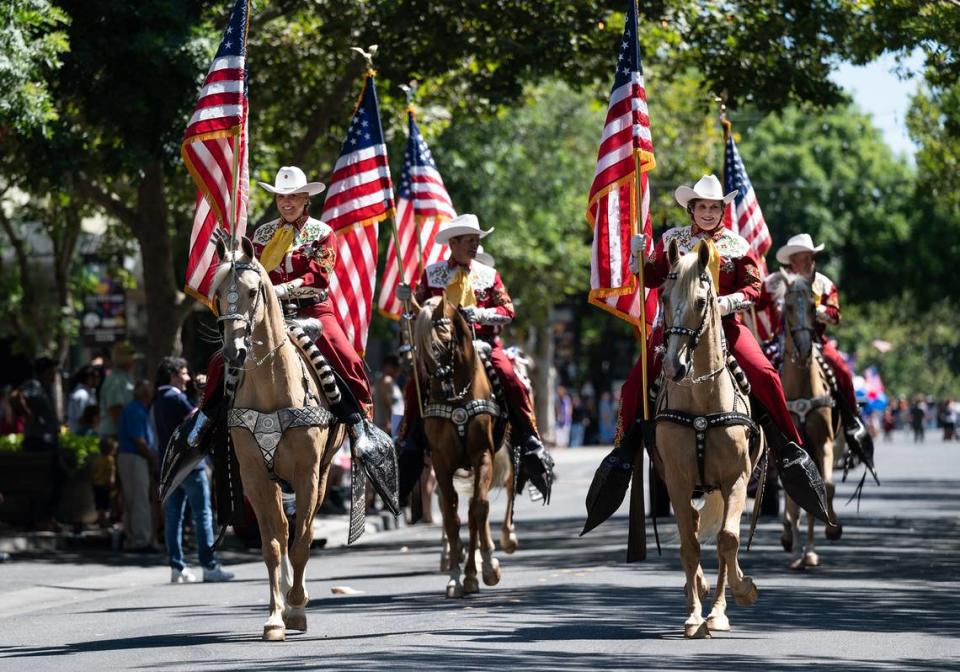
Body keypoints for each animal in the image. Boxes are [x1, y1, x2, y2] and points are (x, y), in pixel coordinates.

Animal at [215, 238, 344, 640]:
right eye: (218, 294)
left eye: (252, 291)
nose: (234, 351)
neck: (273, 387)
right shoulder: (255, 477)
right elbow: (273, 546)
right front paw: (275, 617)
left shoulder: (308, 474)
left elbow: (302, 543)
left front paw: (298, 608)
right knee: (284, 532)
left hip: (323, 473)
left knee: (303, 531)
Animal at [412, 296, 502, 596]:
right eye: (421, 352)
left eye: (443, 342)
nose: (440, 390)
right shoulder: (441, 462)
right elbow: (451, 518)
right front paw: (455, 576)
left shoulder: (482, 455)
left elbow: (477, 510)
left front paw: (480, 572)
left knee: (477, 508)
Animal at [656, 239, 760, 636]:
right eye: (663, 296)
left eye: (702, 301)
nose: (673, 366)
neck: (702, 401)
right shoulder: (677, 480)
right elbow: (689, 545)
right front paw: (694, 615)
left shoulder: (737, 478)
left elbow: (727, 540)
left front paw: (732, 600)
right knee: (695, 531)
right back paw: (695, 591)